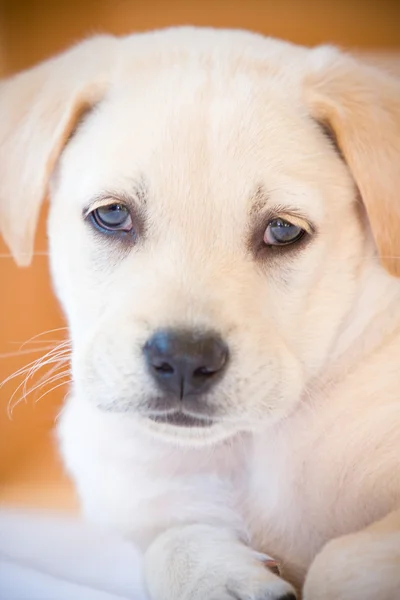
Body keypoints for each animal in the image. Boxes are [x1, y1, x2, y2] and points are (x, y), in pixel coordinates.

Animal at [0, 25, 400, 596]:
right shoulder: (147, 502)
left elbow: (342, 560)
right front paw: (220, 575)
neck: (246, 449)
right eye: (112, 215)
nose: (185, 359)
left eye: (284, 230)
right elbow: (170, 543)